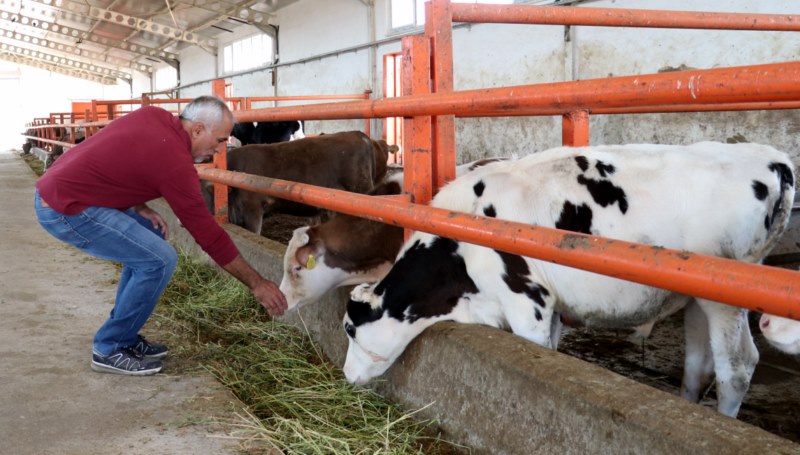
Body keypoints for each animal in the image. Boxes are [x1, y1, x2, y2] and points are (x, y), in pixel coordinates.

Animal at [340, 142, 796, 420]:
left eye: (350, 329)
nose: (346, 376)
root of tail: (772, 158)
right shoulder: (549, 304)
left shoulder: (528, 300)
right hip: (700, 294)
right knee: (699, 366)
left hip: (728, 295)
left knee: (737, 367)